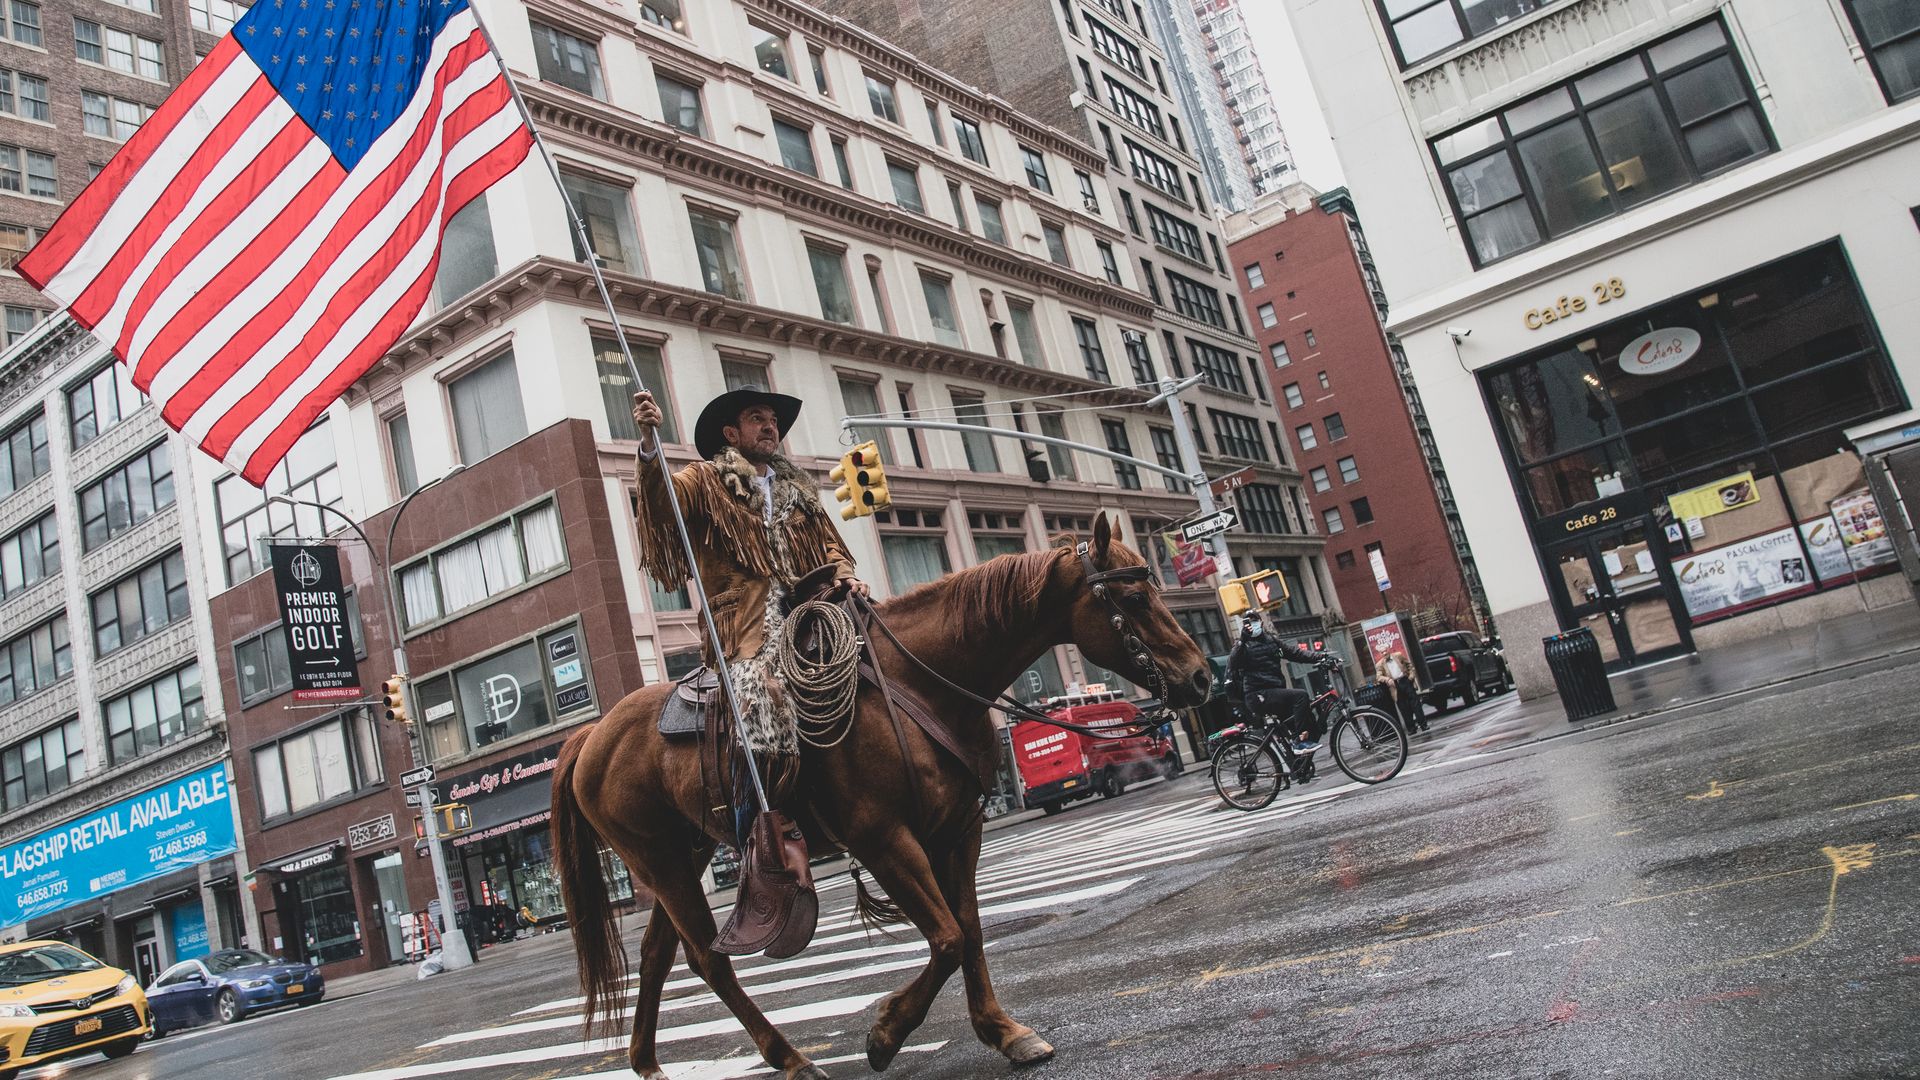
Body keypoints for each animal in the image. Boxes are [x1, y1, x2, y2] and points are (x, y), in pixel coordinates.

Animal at [556, 511, 1205, 1076]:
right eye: (1133, 599)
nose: (1199, 677)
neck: (922, 680)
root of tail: (591, 735)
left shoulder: (960, 830)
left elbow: (970, 930)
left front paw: (1004, 1032)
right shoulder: (884, 839)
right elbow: (946, 939)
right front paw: (886, 1032)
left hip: (684, 855)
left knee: (656, 956)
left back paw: (648, 1063)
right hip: (659, 861)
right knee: (709, 958)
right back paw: (791, 1059)